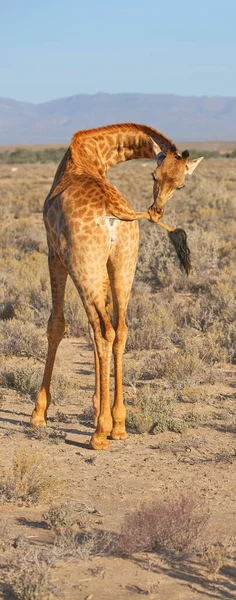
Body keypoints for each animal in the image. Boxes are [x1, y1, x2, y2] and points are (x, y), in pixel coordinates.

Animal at [31, 123, 203, 450]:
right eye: (155, 176)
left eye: (181, 185)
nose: (157, 211)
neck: (90, 155)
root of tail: (114, 215)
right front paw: (98, 404)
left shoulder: (52, 253)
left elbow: (56, 326)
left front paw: (39, 414)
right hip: (123, 264)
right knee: (119, 329)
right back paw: (119, 424)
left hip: (84, 265)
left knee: (102, 331)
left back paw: (100, 433)